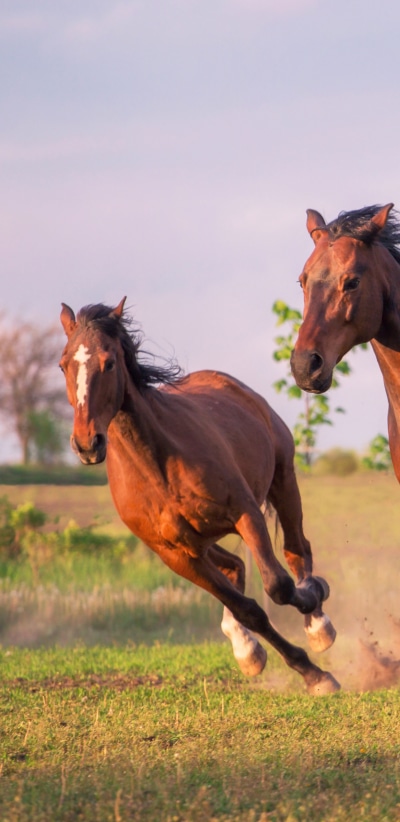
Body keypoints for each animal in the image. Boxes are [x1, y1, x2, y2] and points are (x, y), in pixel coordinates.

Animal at [59, 299, 339, 695]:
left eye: (108, 362)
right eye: (63, 364)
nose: (87, 444)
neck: (158, 466)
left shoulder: (245, 513)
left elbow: (278, 585)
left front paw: (315, 625)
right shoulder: (176, 555)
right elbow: (248, 609)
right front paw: (309, 672)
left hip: (283, 479)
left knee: (297, 550)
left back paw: (318, 625)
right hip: (202, 540)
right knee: (235, 566)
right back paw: (246, 648)